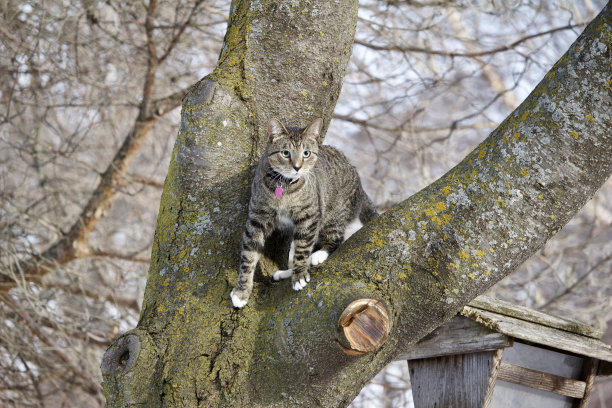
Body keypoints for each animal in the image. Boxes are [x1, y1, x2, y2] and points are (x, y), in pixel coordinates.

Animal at [231, 119, 378, 308]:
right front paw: (241, 292)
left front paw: (299, 276)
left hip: (334, 214)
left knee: (336, 239)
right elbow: (248, 257)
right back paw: (286, 272)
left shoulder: (309, 217)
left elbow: (302, 248)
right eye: (285, 153)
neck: (284, 187)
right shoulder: (257, 218)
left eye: (306, 153)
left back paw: (318, 256)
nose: (297, 167)